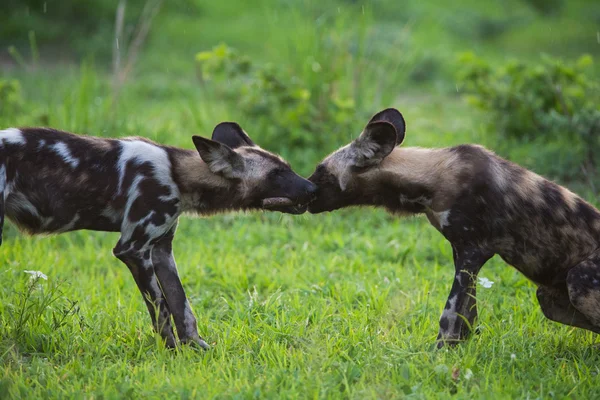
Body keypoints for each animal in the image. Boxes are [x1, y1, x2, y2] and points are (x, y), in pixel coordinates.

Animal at [0, 123, 316, 348]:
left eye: (287, 168)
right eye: (276, 174)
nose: (313, 187)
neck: (178, 176)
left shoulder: (161, 251)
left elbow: (182, 307)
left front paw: (196, 349)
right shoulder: (133, 250)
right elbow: (162, 310)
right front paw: (173, 353)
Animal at [308, 108, 600, 346]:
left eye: (321, 171)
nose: (307, 190)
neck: (431, 180)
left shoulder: (474, 252)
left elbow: (450, 314)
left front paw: (439, 353)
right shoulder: (461, 253)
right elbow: (468, 312)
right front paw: (461, 347)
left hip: (578, 282)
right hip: (549, 299)